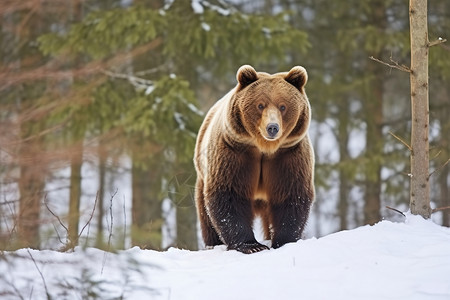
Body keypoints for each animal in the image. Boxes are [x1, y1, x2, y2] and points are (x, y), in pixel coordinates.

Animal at [192, 65, 312, 253]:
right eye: (260, 105)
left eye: (283, 106)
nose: (272, 127)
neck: (264, 148)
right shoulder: (234, 152)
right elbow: (230, 195)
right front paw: (252, 246)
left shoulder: (288, 155)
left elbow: (290, 195)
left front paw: (283, 241)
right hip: (203, 174)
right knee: (205, 213)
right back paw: (213, 243)